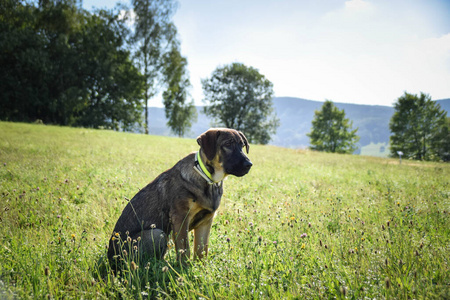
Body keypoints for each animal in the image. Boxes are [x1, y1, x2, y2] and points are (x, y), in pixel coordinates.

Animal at [107, 127, 251, 264]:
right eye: (227, 144)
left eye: (243, 145)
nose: (249, 164)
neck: (207, 178)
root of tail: (110, 258)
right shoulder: (181, 217)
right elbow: (184, 250)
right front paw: (184, 269)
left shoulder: (206, 220)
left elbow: (201, 251)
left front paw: (201, 269)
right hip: (157, 233)